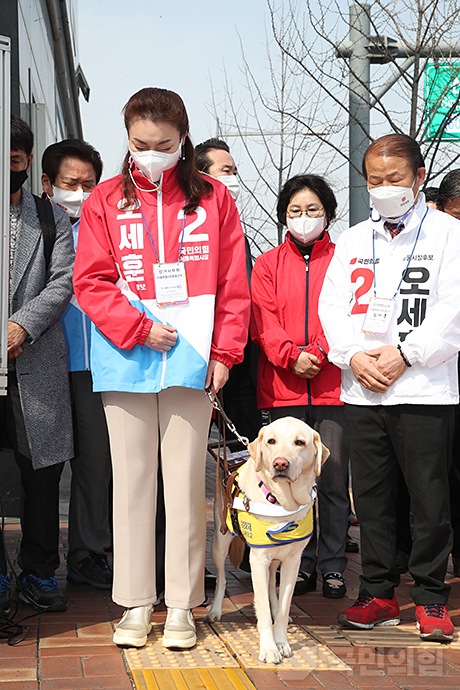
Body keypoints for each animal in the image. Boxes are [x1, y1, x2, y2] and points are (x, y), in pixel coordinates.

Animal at [207, 414, 328, 660]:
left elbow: (283, 605)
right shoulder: (258, 560)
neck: (282, 503)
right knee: (222, 578)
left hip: (275, 559)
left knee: (273, 583)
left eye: (300, 442)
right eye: (271, 441)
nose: (280, 463)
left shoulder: (293, 561)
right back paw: (215, 610)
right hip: (220, 543)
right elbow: (261, 607)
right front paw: (269, 648)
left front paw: (281, 641)